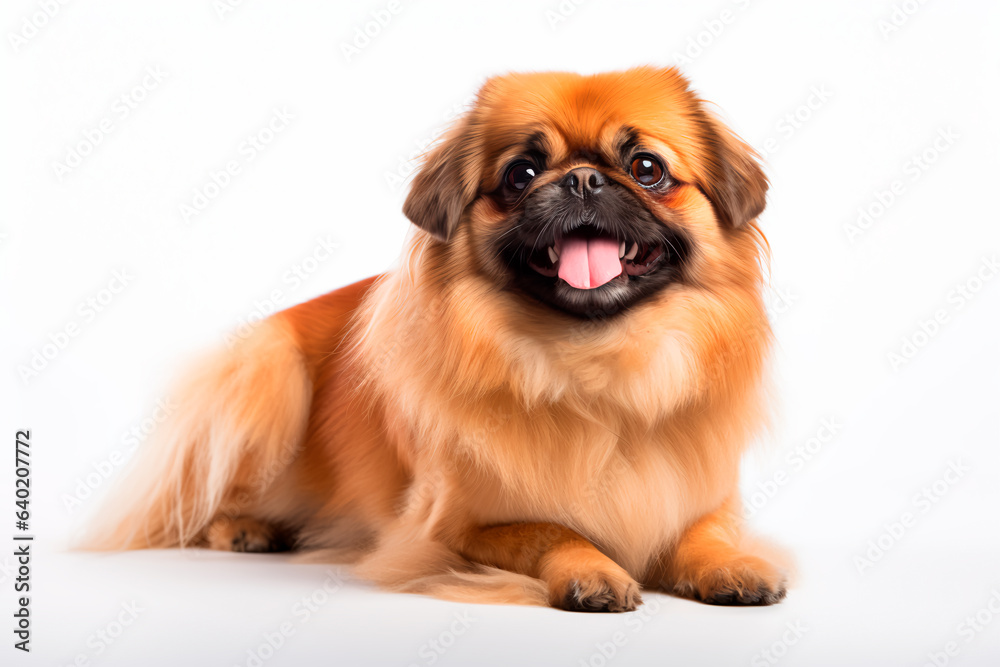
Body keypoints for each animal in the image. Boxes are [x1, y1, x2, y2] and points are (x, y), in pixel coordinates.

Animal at [88, 65, 788, 612]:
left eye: (646, 168)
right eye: (522, 172)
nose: (583, 179)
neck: (595, 365)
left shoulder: (701, 500)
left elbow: (701, 533)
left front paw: (728, 565)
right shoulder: (448, 530)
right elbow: (552, 530)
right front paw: (592, 570)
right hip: (271, 371)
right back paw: (244, 528)